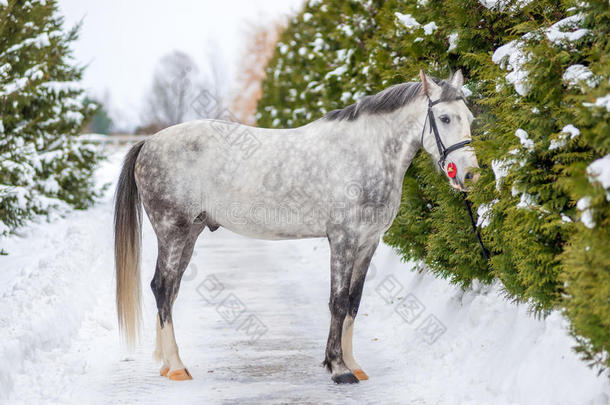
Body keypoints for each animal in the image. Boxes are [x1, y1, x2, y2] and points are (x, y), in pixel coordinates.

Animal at [113, 71, 476, 384]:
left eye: (470, 118)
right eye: (445, 118)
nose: (470, 174)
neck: (362, 152)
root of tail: (148, 143)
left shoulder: (368, 242)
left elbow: (354, 302)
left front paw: (353, 365)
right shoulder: (342, 239)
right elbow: (338, 301)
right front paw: (338, 369)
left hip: (190, 233)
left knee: (170, 290)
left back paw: (165, 363)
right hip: (172, 231)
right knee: (162, 288)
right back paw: (176, 367)